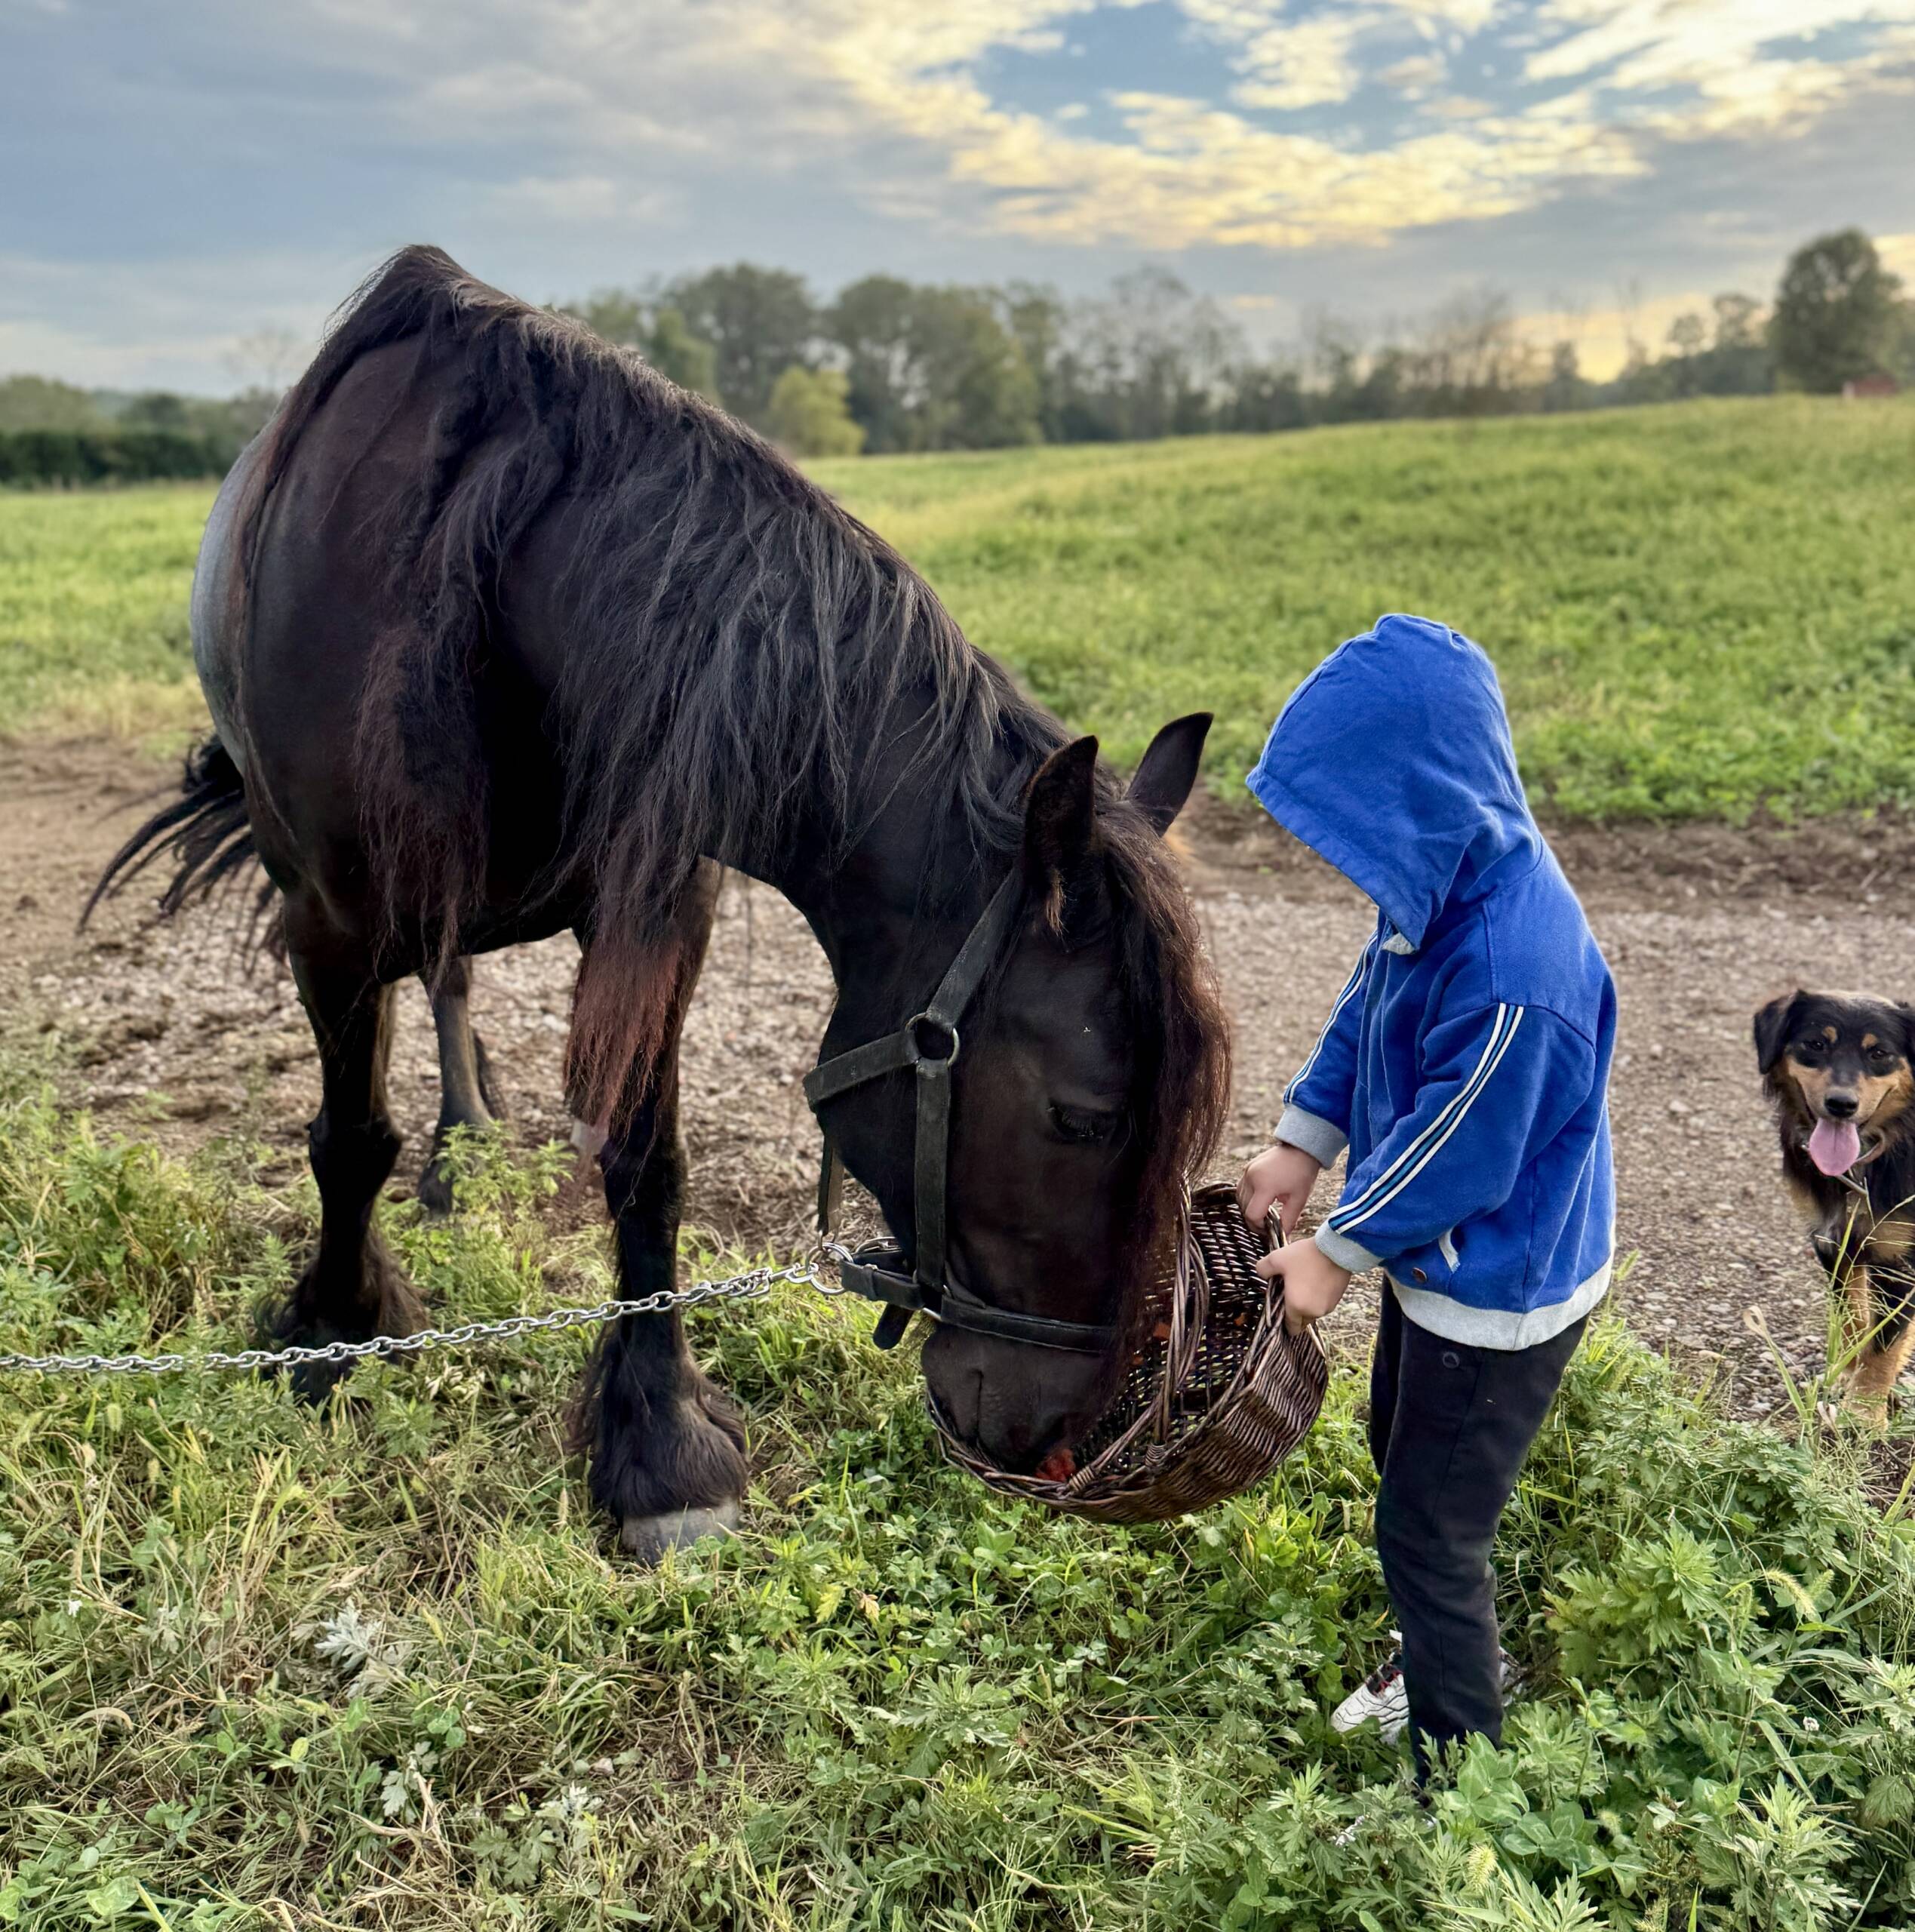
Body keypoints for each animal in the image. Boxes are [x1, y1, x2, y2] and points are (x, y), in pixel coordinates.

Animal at [95, 246, 1231, 1558]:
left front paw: (658, 1442)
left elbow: (647, 1167)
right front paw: (335, 1326)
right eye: (1082, 1119)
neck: (484, 590)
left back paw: (467, 1139)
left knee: (452, 980)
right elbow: (348, 1140)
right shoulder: (327, 923)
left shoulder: (654, 914)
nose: (1061, 1439)